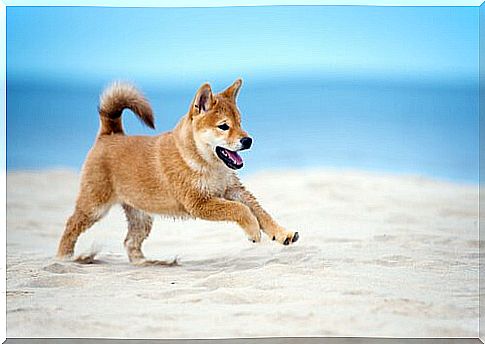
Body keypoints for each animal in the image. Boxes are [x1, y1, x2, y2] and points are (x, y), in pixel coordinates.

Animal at [56, 79, 298, 264]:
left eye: (240, 122)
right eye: (224, 126)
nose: (248, 140)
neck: (203, 162)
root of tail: (108, 136)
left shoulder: (234, 191)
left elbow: (260, 212)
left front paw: (282, 233)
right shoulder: (199, 203)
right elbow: (241, 210)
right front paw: (253, 231)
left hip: (141, 216)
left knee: (130, 242)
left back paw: (146, 263)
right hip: (94, 207)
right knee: (71, 225)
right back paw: (64, 257)